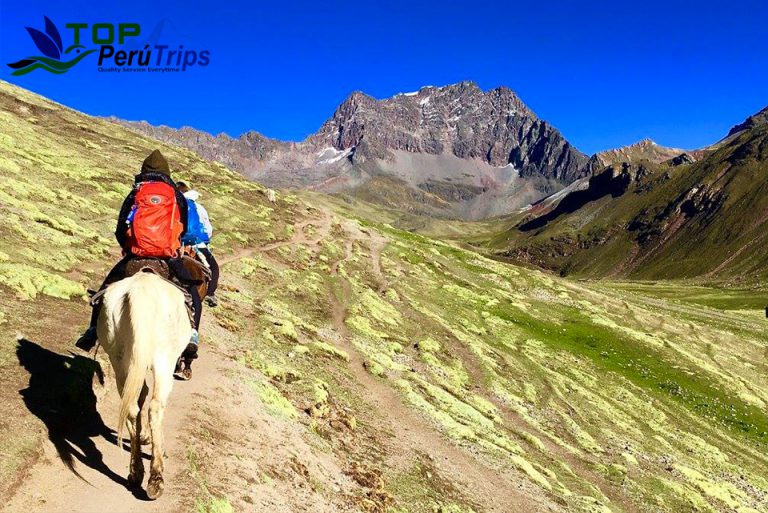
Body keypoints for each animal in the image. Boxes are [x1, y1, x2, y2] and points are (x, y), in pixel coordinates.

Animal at [97, 272, 191, 500]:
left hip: (119, 359)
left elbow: (141, 395)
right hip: (164, 359)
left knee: (131, 407)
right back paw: (156, 478)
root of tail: (141, 290)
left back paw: (136, 472)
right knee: (155, 406)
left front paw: (144, 436)